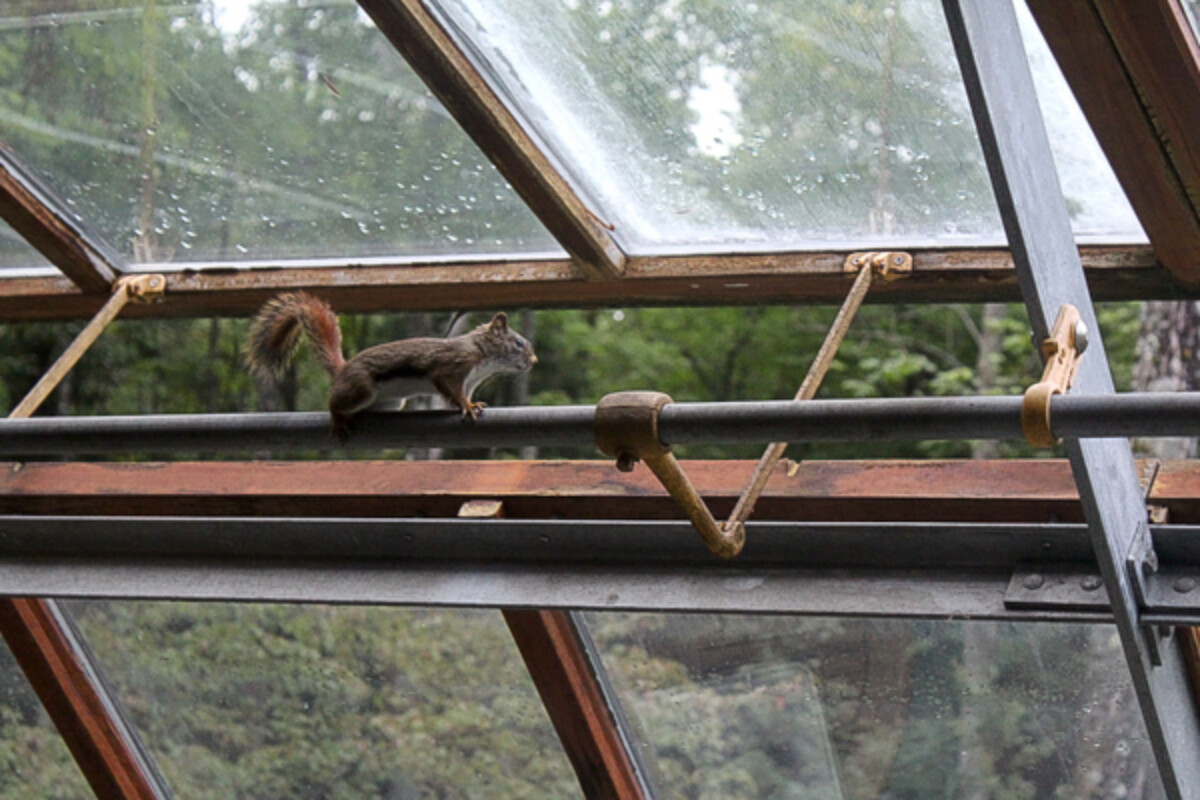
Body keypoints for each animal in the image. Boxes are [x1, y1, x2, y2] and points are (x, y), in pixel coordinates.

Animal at [245, 291, 537, 440]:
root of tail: (342, 370)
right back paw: (338, 419)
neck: (481, 355)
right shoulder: (452, 366)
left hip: (391, 403)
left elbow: (459, 395)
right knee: (335, 403)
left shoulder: (471, 380)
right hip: (360, 389)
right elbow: (451, 389)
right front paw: (467, 406)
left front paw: (473, 403)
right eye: (519, 343)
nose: (534, 361)